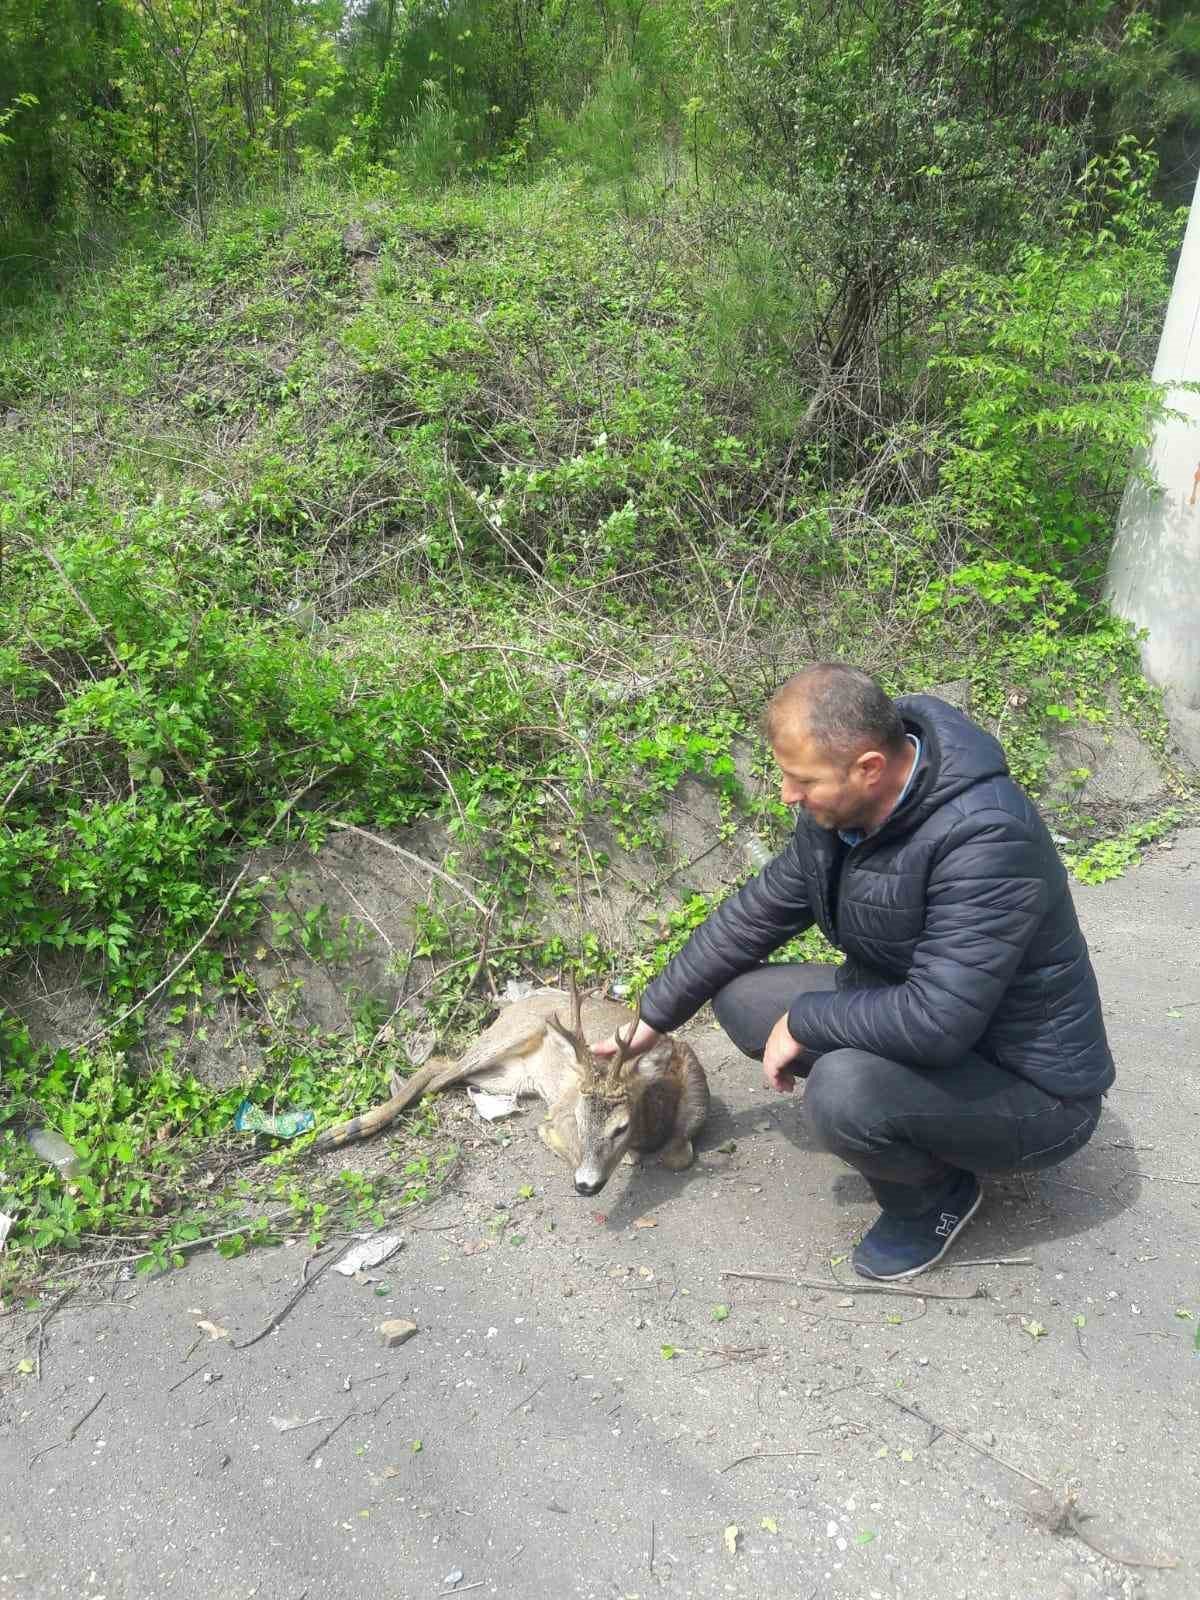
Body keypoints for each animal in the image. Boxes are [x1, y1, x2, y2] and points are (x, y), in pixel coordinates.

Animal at [310, 979, 710, 1196]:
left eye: (621, 1126)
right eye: (579, 1119)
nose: (585, 1185)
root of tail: (511, 1006)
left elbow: (679, 1156)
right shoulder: (559, 1111)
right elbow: (552, 1131)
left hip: (507, 1075)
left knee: (442, 1068)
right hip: (506, 1036)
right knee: (441, 1067)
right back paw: (342, 1130)